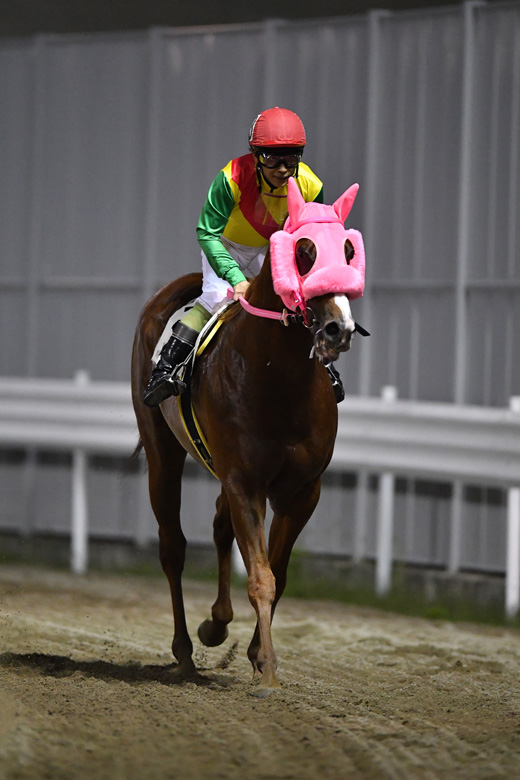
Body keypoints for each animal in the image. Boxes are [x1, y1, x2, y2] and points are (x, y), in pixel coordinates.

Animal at [131, 178, 366, 688]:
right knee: (172, 547)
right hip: (163, 453)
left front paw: (258, 655)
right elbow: (260, 576)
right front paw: (269, 672)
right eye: (303, 251)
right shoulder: (246, 482)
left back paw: (216, 624)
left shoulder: (302, 489)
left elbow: (277, 571)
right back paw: (183, 651)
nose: (337, 330)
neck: (278, 377)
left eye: (347, 249)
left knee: (220, 527)